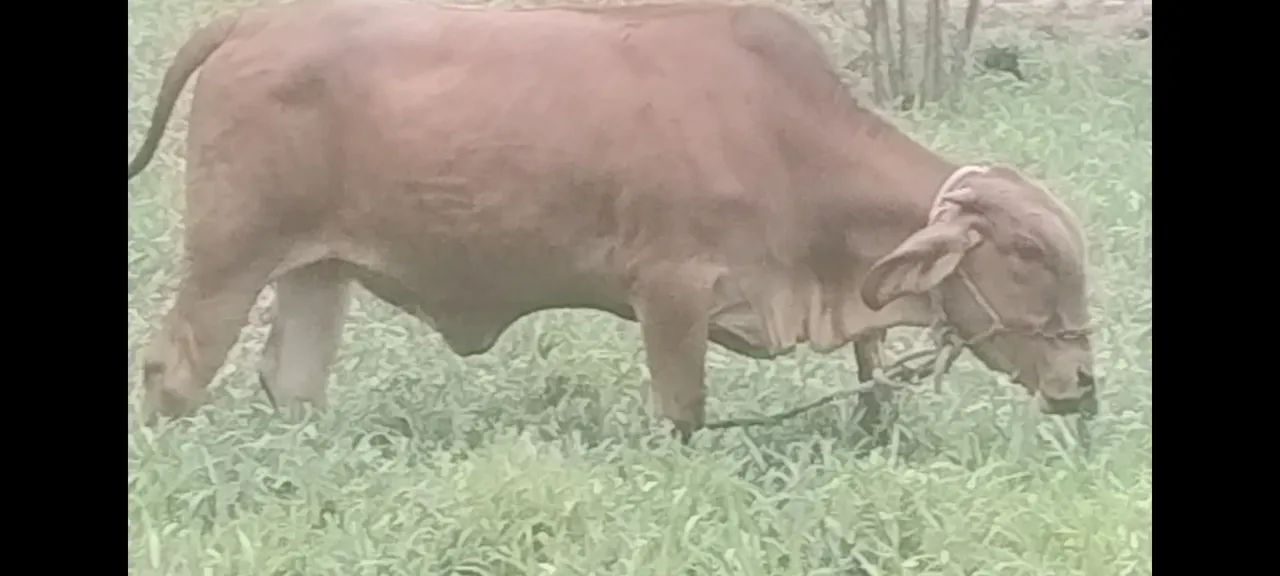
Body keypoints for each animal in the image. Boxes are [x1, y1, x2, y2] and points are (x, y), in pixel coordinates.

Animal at [127, 0, 1097, 441]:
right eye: (1026, 253)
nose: (1085, 385)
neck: (783, 137)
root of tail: (251, 22)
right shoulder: (669, 293)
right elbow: (684, 415)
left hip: (315, 271)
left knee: (292, 382)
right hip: (229, 253)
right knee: (173, 370)